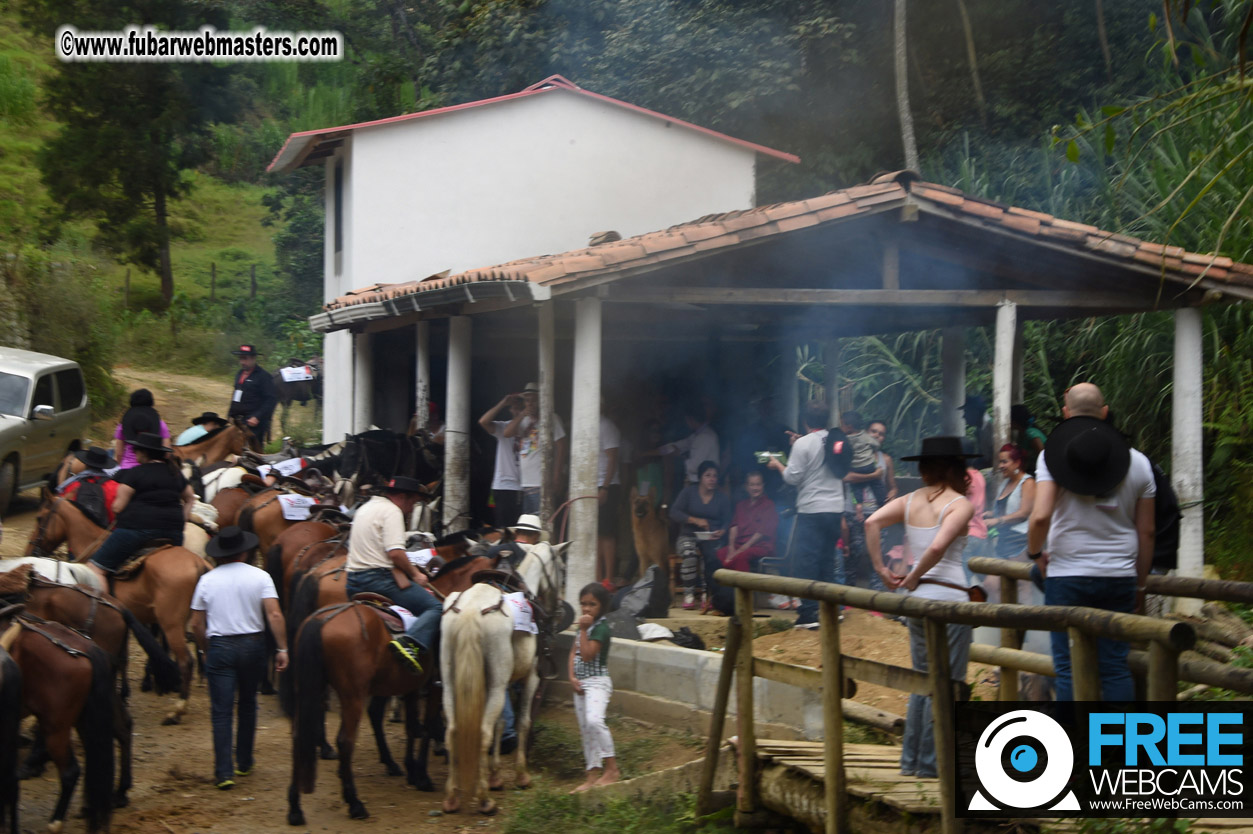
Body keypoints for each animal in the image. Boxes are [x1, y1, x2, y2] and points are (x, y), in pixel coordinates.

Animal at [284, 548, 498, 821]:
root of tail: (321, 621)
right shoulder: (436, 686)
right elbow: (427, 725)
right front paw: (422, 775)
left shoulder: (412, 685)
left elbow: (412, 728)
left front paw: (411, 769)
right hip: (352, 695)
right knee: (345, 740)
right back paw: (355, 803)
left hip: (308, 687)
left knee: (300, 734)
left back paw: (295, 808)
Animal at [436, 538, 563, 811]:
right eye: (562, 568)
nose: (558, 609)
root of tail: (471, 611)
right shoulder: (530, 678)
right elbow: (521, 722)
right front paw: (521, 775)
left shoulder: (502, 683)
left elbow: (501, 723)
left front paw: (495, 775)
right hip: (495, 685)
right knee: (483, 731)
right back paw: (485, 799)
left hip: (452, 683)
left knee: (452, 730)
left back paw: (451, 797)